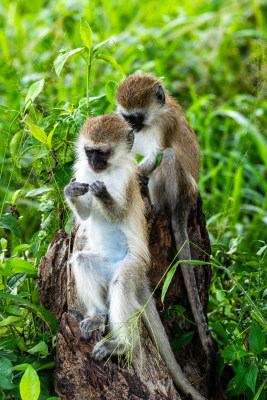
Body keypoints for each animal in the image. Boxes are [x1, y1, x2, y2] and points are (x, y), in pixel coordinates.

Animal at [65, 113, 207, 400]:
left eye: (103, 153)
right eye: (89, 151)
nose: (94, 164)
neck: (106, 172)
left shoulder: (127, 181)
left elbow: (119, 212)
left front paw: (101, 192)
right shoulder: (82, 173)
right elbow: (84, 213)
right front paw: (71, 191)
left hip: (132, 267)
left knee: (121, 285)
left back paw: (122, 345)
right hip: (103, 264)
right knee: (83, 260)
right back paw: (97, 315)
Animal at [117, 74, 218, 400]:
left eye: (137, 117)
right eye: (126, 117)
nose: (132, 128)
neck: (154, 118)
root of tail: (188, 199)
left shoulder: (163, 127)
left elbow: (155, 155)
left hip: (179, 188)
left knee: (170, 158)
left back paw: (153, 202)